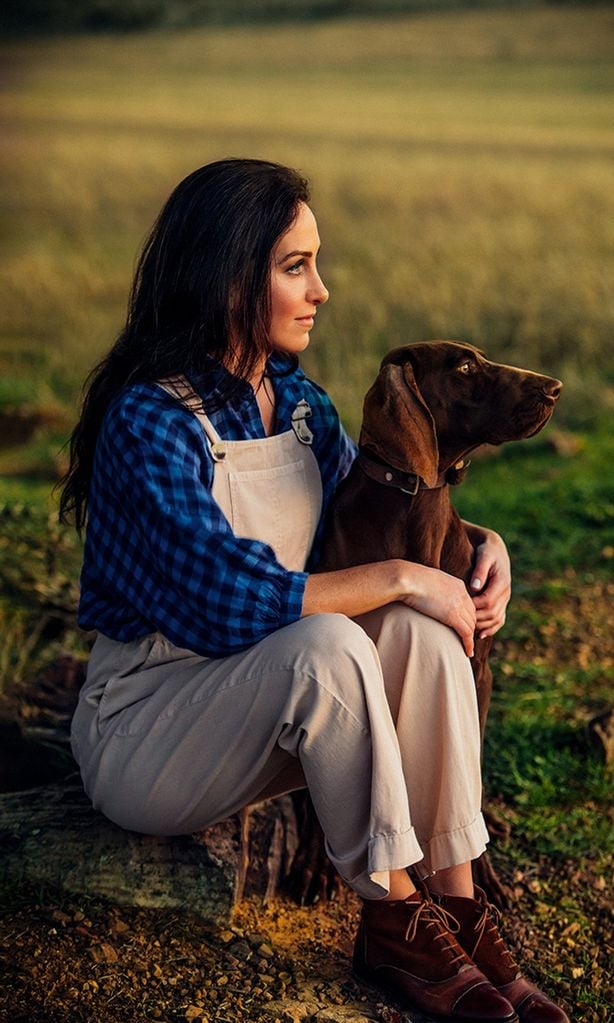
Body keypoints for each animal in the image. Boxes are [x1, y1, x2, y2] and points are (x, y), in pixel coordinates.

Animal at [288, 341, 560, 904]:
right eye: (465, 366)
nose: (554, 388)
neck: (415, 512)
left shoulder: (478, 671)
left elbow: (468, 770)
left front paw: (482, 874)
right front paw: (313, 864)